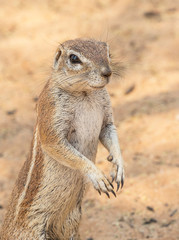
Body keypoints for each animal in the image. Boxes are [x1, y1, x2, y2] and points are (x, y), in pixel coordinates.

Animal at [0, 38, 124, 239]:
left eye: (108, 51)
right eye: (74, 58)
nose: (107, 72)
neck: (85, 94)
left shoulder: (106, 118)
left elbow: (110, 134)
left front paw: (118, 167)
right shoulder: (51, 112)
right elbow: (62, 148)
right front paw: (97, 176)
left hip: (71, 226)